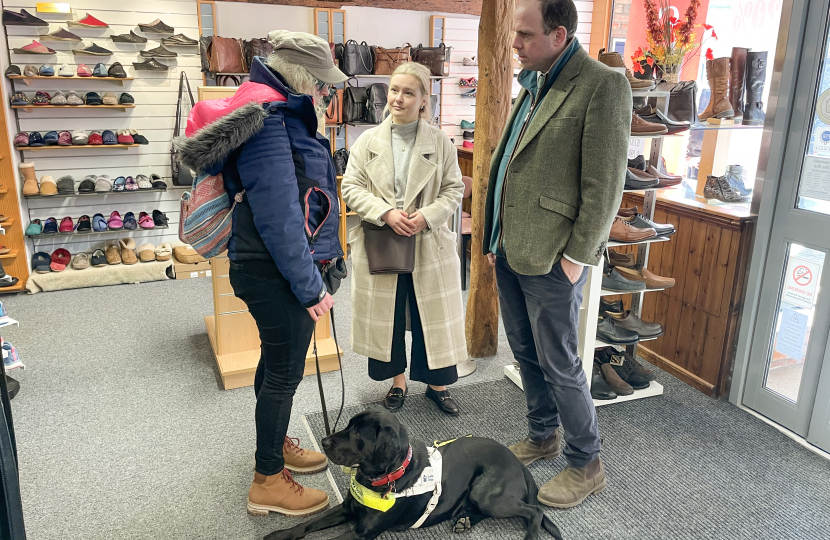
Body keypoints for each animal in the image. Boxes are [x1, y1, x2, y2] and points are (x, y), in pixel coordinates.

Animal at [266, 410, 564, 540]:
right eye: (349, 424)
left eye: (358, 433)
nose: (325, 441)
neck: (387, 476)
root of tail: (518, 462)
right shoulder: (348, 507)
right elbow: (306, 524)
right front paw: (279, 534)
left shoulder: (363, 533)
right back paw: (464, 520)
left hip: (488, 493)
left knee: (535, 512)